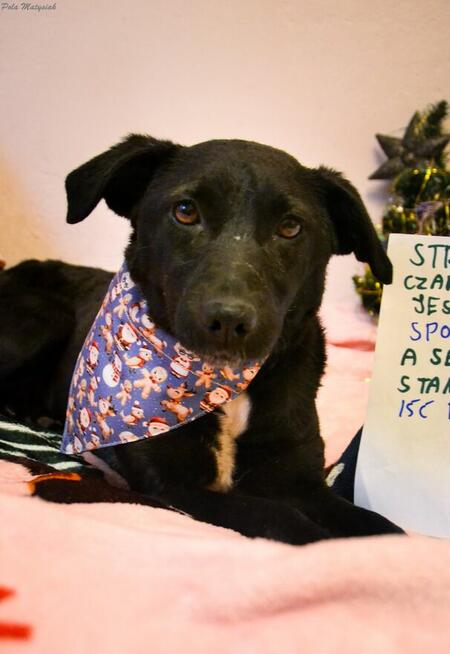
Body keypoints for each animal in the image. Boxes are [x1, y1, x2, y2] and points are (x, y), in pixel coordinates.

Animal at [0, 134, 403, 544]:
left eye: (291, 227)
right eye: (185, 211)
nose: (229, 320)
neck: (226, 385)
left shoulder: (302, 482)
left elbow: (382, 526)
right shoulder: (174, 488)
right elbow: (279, 518)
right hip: (46, 319)